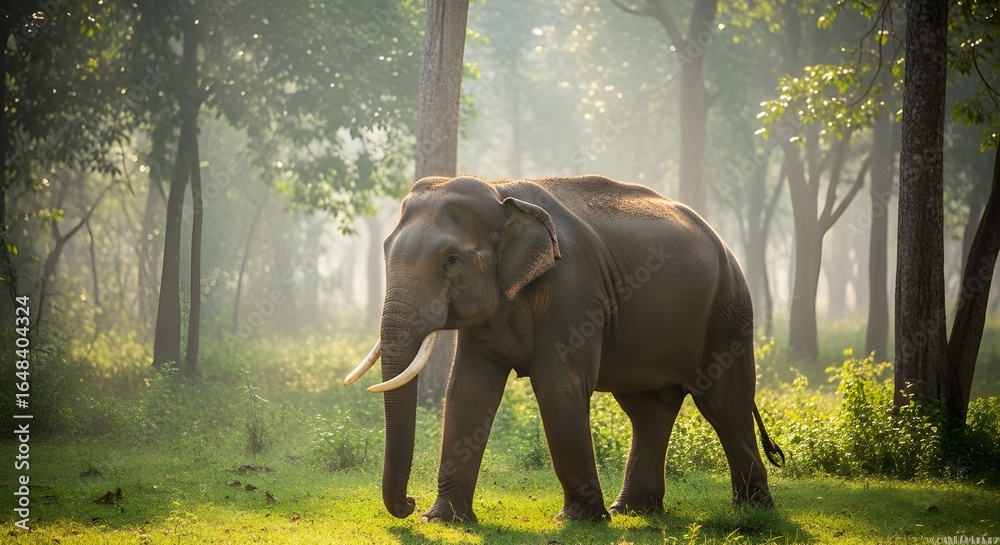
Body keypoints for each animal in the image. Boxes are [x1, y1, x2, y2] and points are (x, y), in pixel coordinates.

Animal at [344, 174, 784, 523]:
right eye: (385, 250)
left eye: (451, 260)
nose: (409, 503)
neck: (500, 191)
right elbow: (469, 391)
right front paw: (443, 520)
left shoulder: (572, 289)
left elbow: (559, 386)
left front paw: (579, 521)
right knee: (648, 409)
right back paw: (633, 510)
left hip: (728, 312)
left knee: (724, 405)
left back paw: (753, 512)